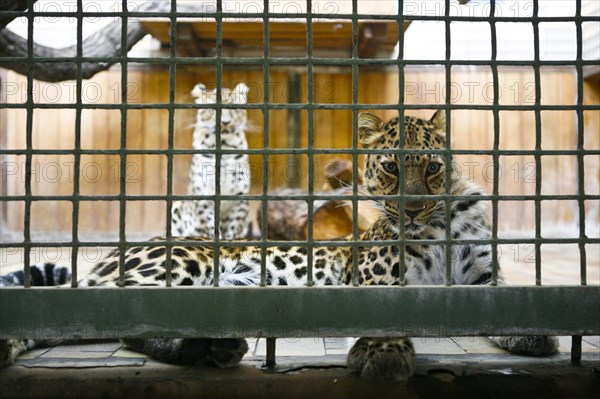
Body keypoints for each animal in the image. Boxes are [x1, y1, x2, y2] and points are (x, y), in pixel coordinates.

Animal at [2, 111, 560, 382]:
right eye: (391, 168)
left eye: (433, 167)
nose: (416, 209)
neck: (442, 221)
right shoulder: (380, 277)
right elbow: (384, 315)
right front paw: (383, 355)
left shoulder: (482, 280)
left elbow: (509, 305)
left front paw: (536, 334)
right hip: (177, 267)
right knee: (118, 323)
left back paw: (213, 349)